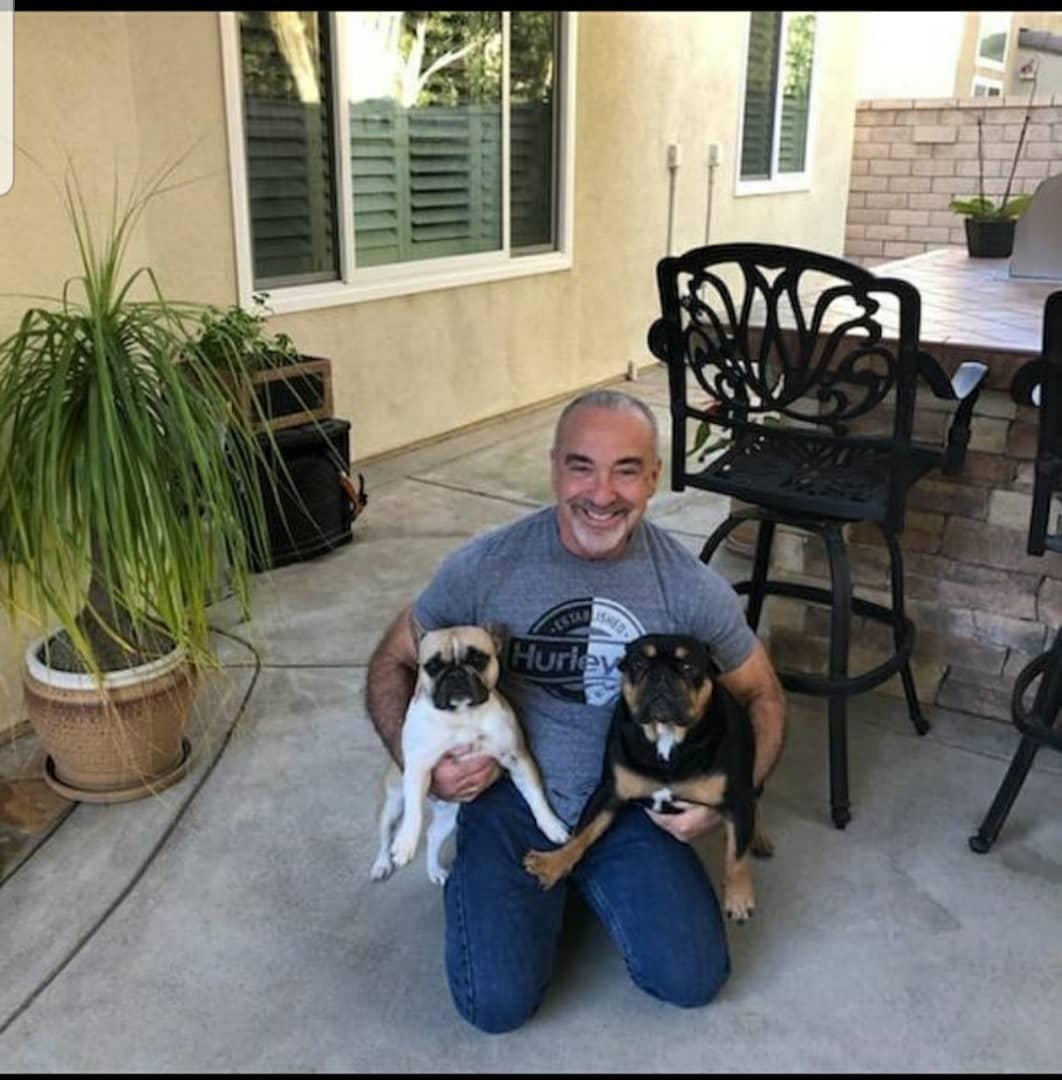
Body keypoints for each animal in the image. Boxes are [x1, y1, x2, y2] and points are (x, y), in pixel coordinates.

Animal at [371, 624, 569, 885]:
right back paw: (382, 862)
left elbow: (536, 795)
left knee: (433, 836)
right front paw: (405, 843)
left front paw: (551, 825)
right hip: (394, 802)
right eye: (433, 666)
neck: (462, 716)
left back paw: (434, 870)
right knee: (386, 833)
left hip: (449, 815)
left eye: (478, 659)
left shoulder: (517, 758)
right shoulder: (418, 767)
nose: (455, 674)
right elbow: (414, 809)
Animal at [522, 633, 773, 921]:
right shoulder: (610, 790)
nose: (660, 674)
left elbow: (737, 854)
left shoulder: (737, 799)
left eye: (688, 666)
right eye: (639, 663)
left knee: (756, 799)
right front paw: (554, 862)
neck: (665, 736)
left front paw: (739, 897)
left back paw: (759, 837)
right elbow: (583, 832)